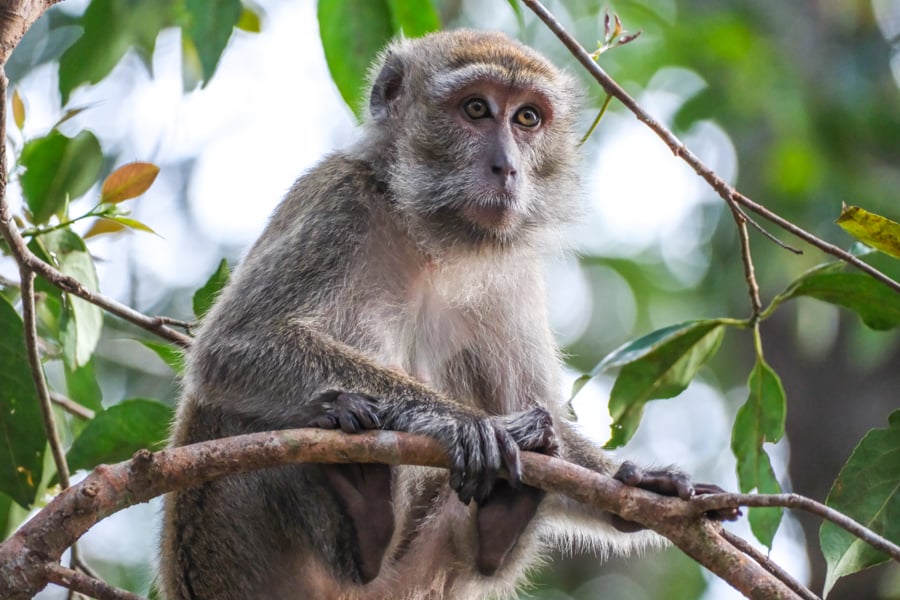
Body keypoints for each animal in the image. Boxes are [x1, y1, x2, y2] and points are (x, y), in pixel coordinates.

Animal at [160, 29, 740, 600]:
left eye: (527, 118)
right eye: (476, 109)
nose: (506, 167)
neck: (430, 237)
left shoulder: (514, 272)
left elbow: (539, 405)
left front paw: (634, 480)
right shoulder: (337, 200)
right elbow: (236, 346)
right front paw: (465, 423)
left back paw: (494, 515)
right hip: (221, 536)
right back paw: (363, 502)